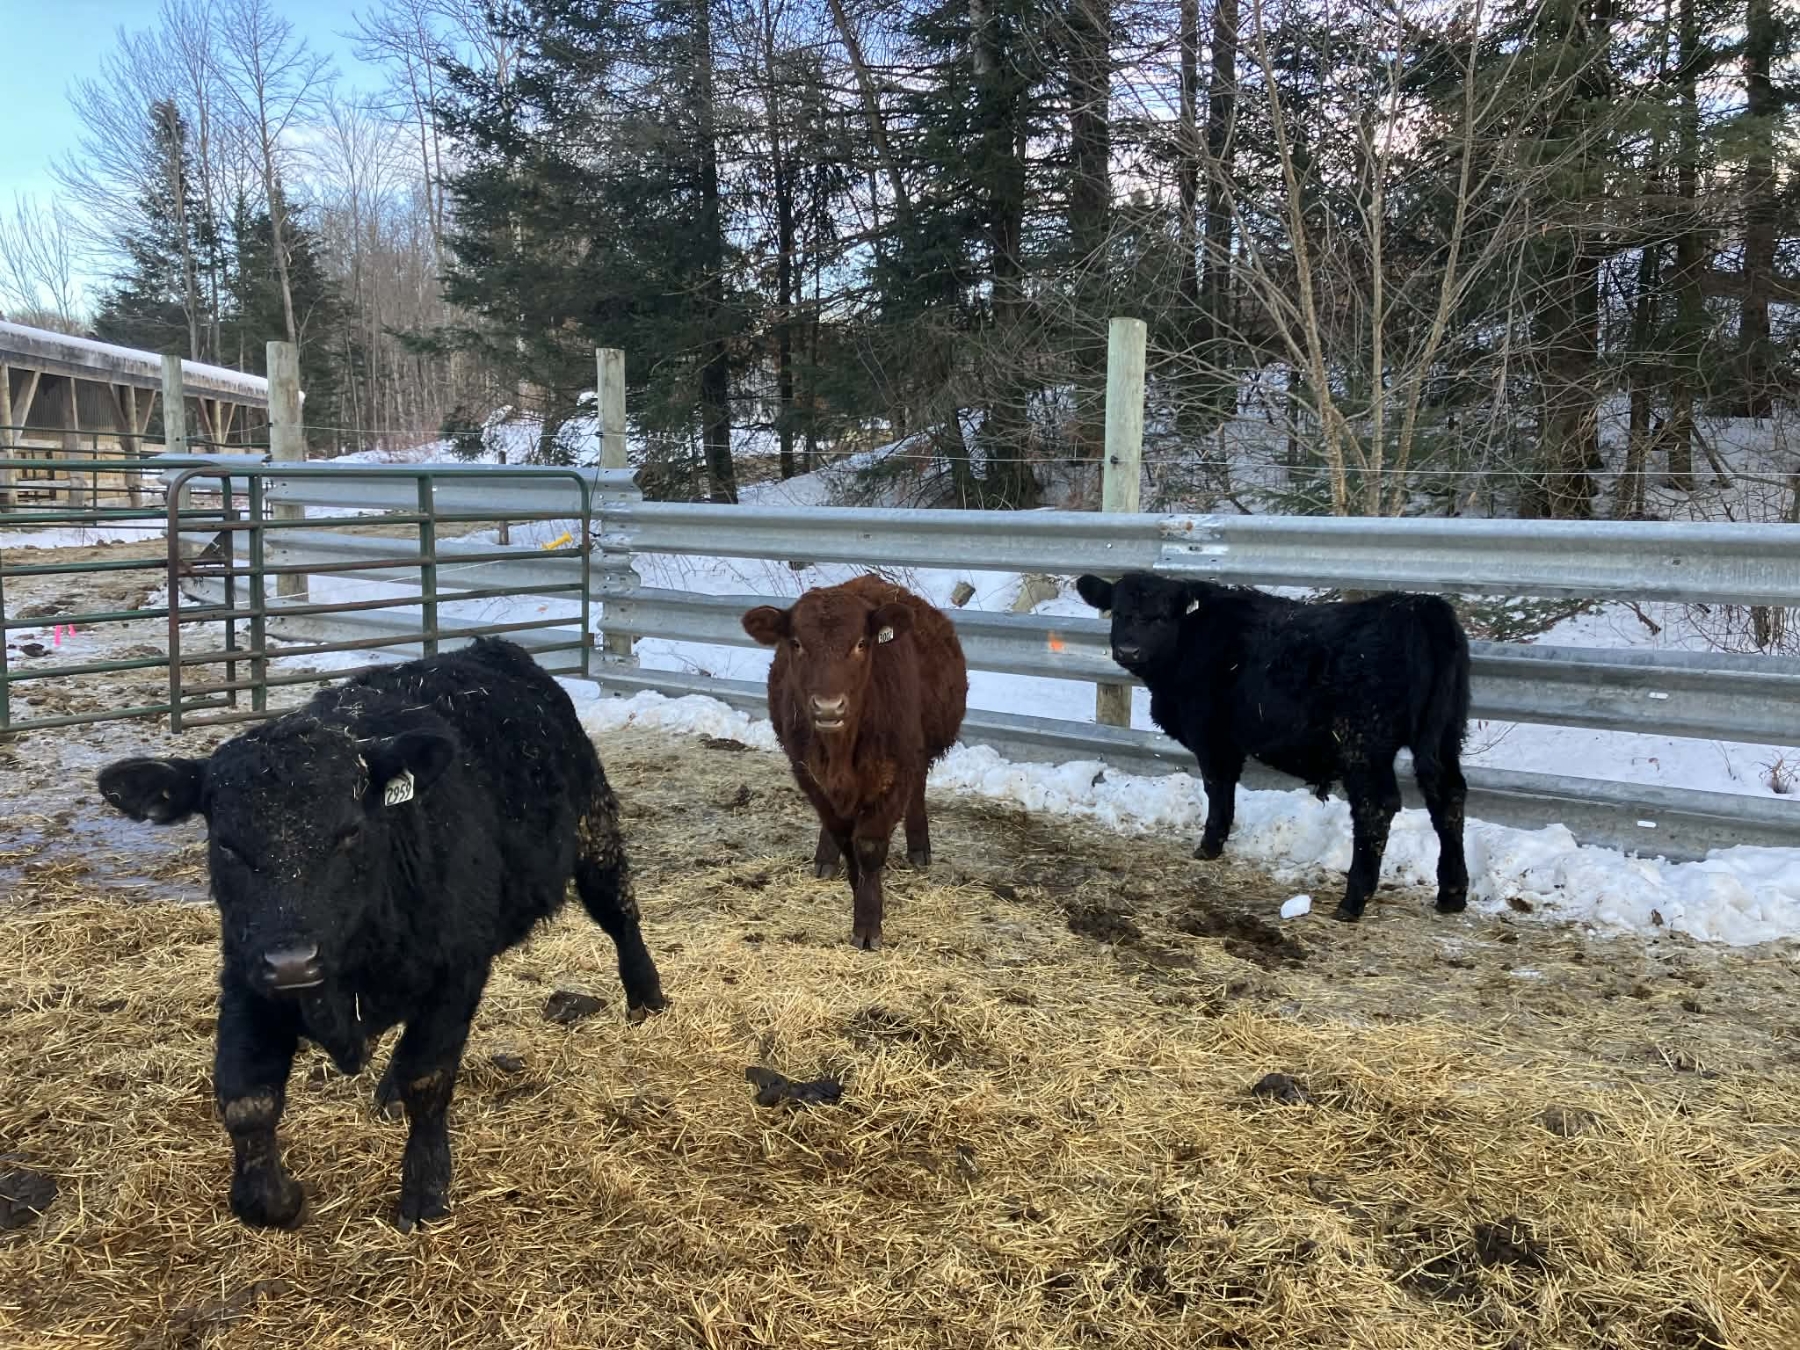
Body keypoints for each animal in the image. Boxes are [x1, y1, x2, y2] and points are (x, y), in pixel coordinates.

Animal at [95, 637, 667, 1232]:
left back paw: (646, 996)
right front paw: (278, 1199)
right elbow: (247, 1102)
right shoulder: (248, 976)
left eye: (350, 830)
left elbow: (428, 1078)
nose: (294, 961)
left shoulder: (456, 971)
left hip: (594, 829)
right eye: (226, 843)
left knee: (621, 914)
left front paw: (425, 1188)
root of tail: (494, 650)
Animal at [741, 574, 968, 950]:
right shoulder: (809, 775)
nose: (828, 706)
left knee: (918, 792)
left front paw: (868, 923)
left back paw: (919, 848)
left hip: (919, 754)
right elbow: (845, 839)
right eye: (796, 643)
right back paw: (825, 859)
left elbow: (870, 847)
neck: (841, 751)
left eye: (861, 643)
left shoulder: (895, 774)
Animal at [1076, 571, 1470, 923]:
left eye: (1160, 616)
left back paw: (1353, 900)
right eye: (1119, 612)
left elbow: (1217, 787)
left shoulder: (1211, 736)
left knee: (1376, 808)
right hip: (1446, 735)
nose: (1129, 649)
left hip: (1363, 744)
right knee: (1448, 796)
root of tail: (1417, 606)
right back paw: (1452, 894)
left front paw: (1209, 845)